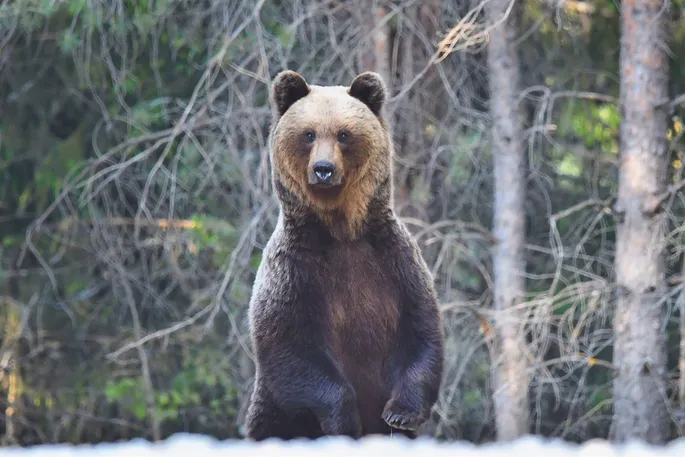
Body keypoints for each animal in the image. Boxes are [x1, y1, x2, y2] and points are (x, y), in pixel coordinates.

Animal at [240, 70, 444, 438]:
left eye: (344, 134)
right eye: (308, 134)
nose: (323, 169)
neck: (341, 231)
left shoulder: (394, 262)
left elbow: (420, 329)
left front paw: (400, 413)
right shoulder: (294, 270)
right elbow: (290, 346)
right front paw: (345, 420)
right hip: (275, 415)